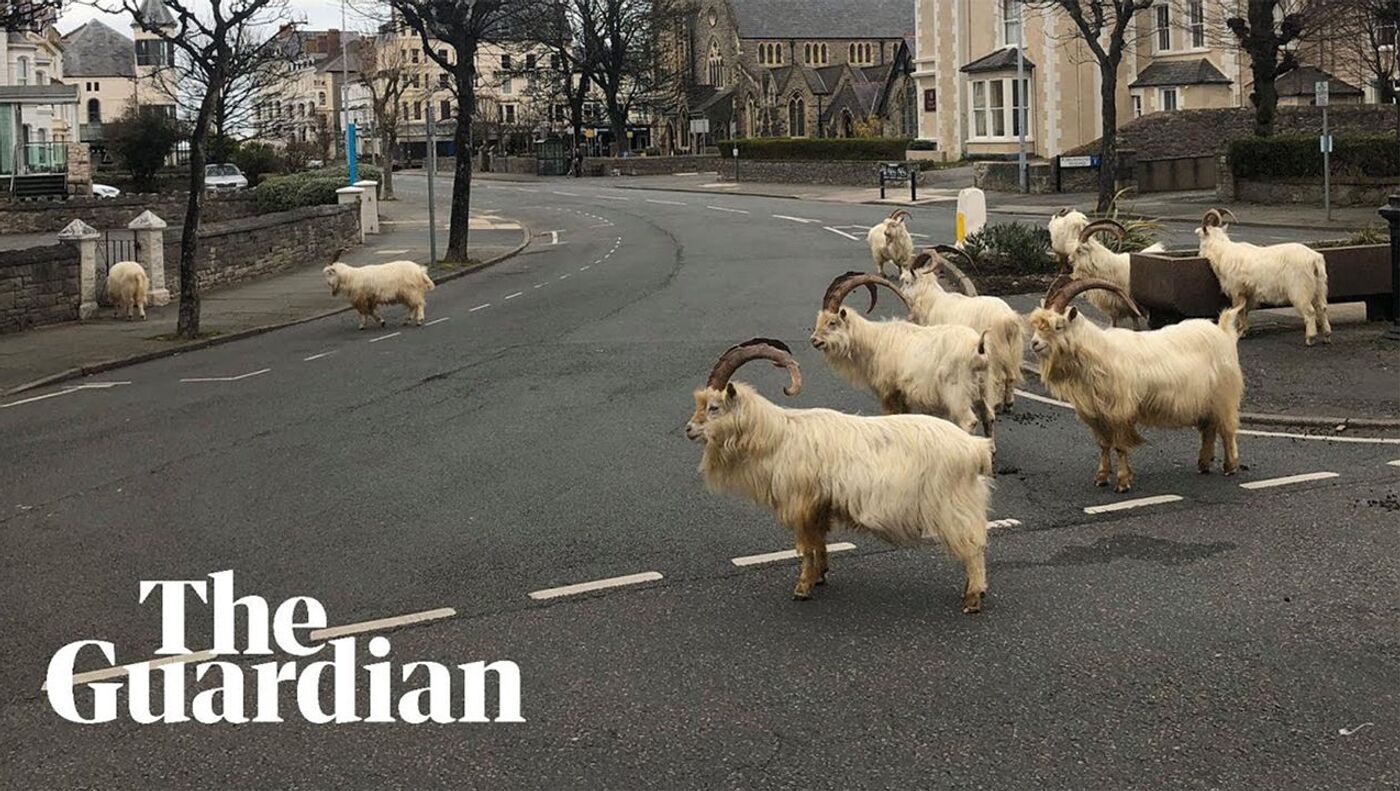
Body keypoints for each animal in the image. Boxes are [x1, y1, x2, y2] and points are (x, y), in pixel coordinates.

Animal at [686, 338, 996, 610]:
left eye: (714, 407)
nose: (689, 429)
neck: (779, 436)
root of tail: (975, 449)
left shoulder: (801, 503)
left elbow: (807, 547)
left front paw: (802, 588)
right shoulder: (819, 504)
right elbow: (819, 543)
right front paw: (820, 575)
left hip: (952, 504)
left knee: (973, 546)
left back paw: (973, 598)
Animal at [812, 271, 996, 445]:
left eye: (832, 322)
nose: (814, 340)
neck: (875, 341)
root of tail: (977, 347)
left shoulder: (889, 391)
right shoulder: (903, 393)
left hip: (957, 393)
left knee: (969, 422)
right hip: (983, 389)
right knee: (989, 415)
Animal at [896, 246, 1030, 411]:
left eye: (907, 281)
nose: (900, 293)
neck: (932, 301)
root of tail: (1008, 319)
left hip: (995, 351)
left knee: (999, 377)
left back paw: (995, 404)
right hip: (1012, 350)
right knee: (1011, 376)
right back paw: (1008, 404)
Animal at [1024, 275, 1243, 487]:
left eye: (1058, 326)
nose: (1034, 344)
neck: (1100, 354)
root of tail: (1223, 331)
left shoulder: (1119, 411)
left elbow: (1120, 446)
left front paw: (1123, 482)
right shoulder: (1097, 415)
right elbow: (1104, 445)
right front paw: (1101, 477)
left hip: (1224, 395)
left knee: (1227, 430)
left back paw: (1230, 467)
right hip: (1205, 402)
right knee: (1209, 430)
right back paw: (1204, 464)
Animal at [1192, 208, 1332, 344]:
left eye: (1201, 238)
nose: (1198, 254)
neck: (1222, 251)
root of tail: (1314, 260)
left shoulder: (1237, 290)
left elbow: (1239, 311)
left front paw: (1239, 333)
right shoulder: (1249, 293)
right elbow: (1245, 310)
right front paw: (1244, 330)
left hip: (1300, 289)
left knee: (1310, 311)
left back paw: (1310, 338)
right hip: (1319, 287)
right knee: (1322, 308)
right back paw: (1326, 335)